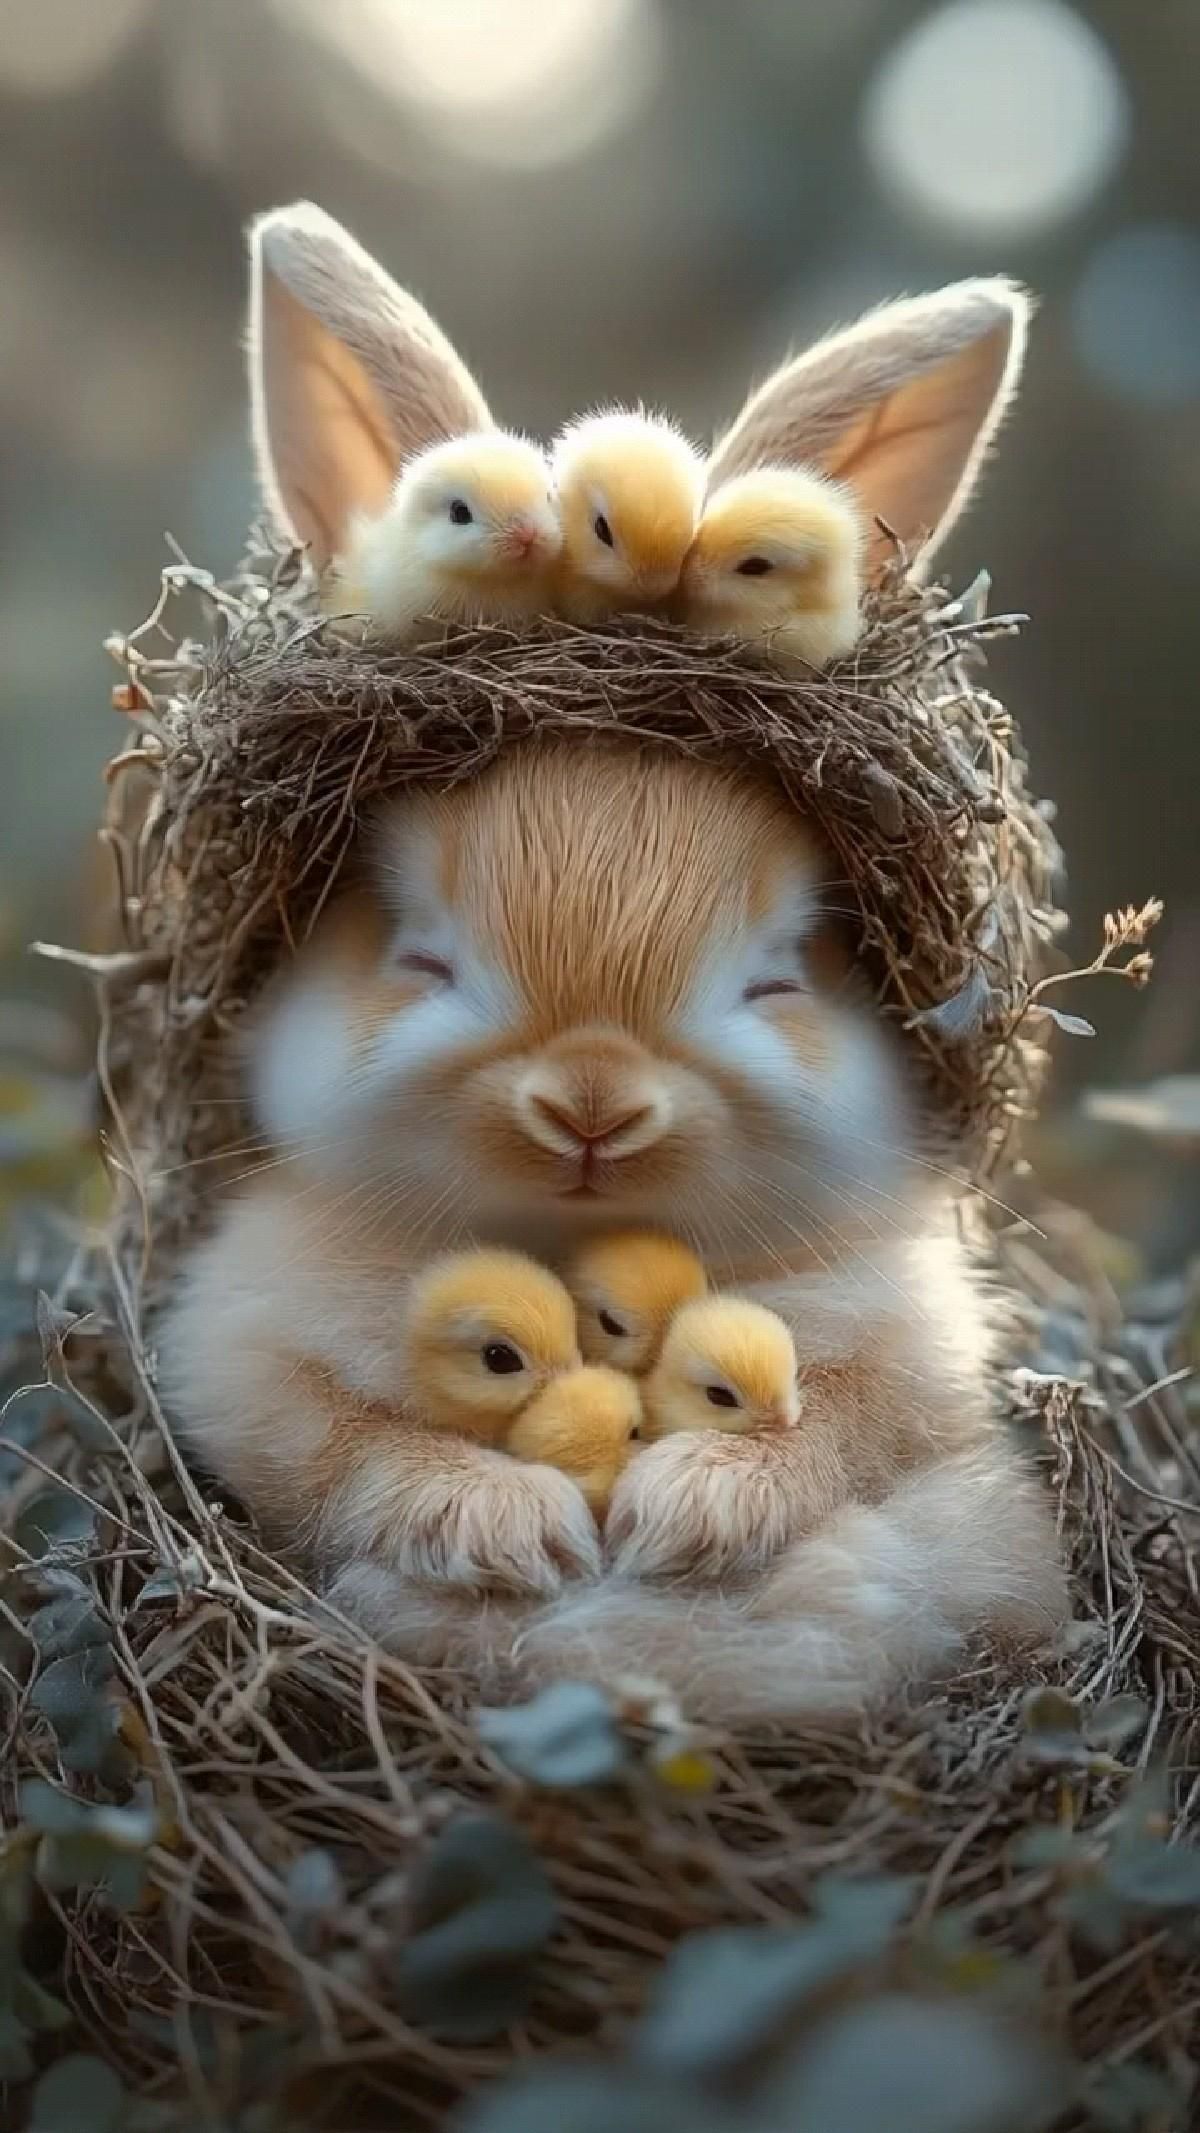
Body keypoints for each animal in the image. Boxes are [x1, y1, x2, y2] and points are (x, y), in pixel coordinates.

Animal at [157, 214, 1065, 1718]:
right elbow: (341, 1449)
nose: (591, 1103)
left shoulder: (913, 1355)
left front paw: (684, 1509)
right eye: (417, 954)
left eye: (778, 976)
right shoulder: (243, 1357)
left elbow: (840, 1424)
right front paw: (516, 1526)